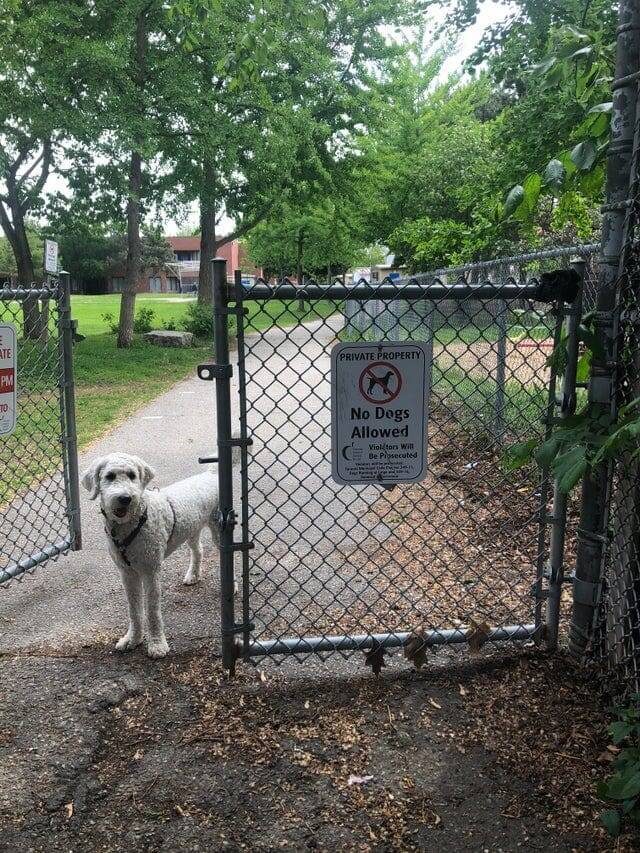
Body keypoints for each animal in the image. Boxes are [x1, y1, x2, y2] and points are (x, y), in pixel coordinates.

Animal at [82, 452, 238, 660]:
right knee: (198, 550)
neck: (133, 522)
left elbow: (152, 611)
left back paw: (232, 586)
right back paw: (193, 575)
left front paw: (157, 644)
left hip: (219, 531)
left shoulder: (151, 571)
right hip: (191, 529)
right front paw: (132, 639)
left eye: (132, 475)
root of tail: (211, 473)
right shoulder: (127, 573)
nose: (125, 498)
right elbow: (134, 609)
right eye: (109, 476)